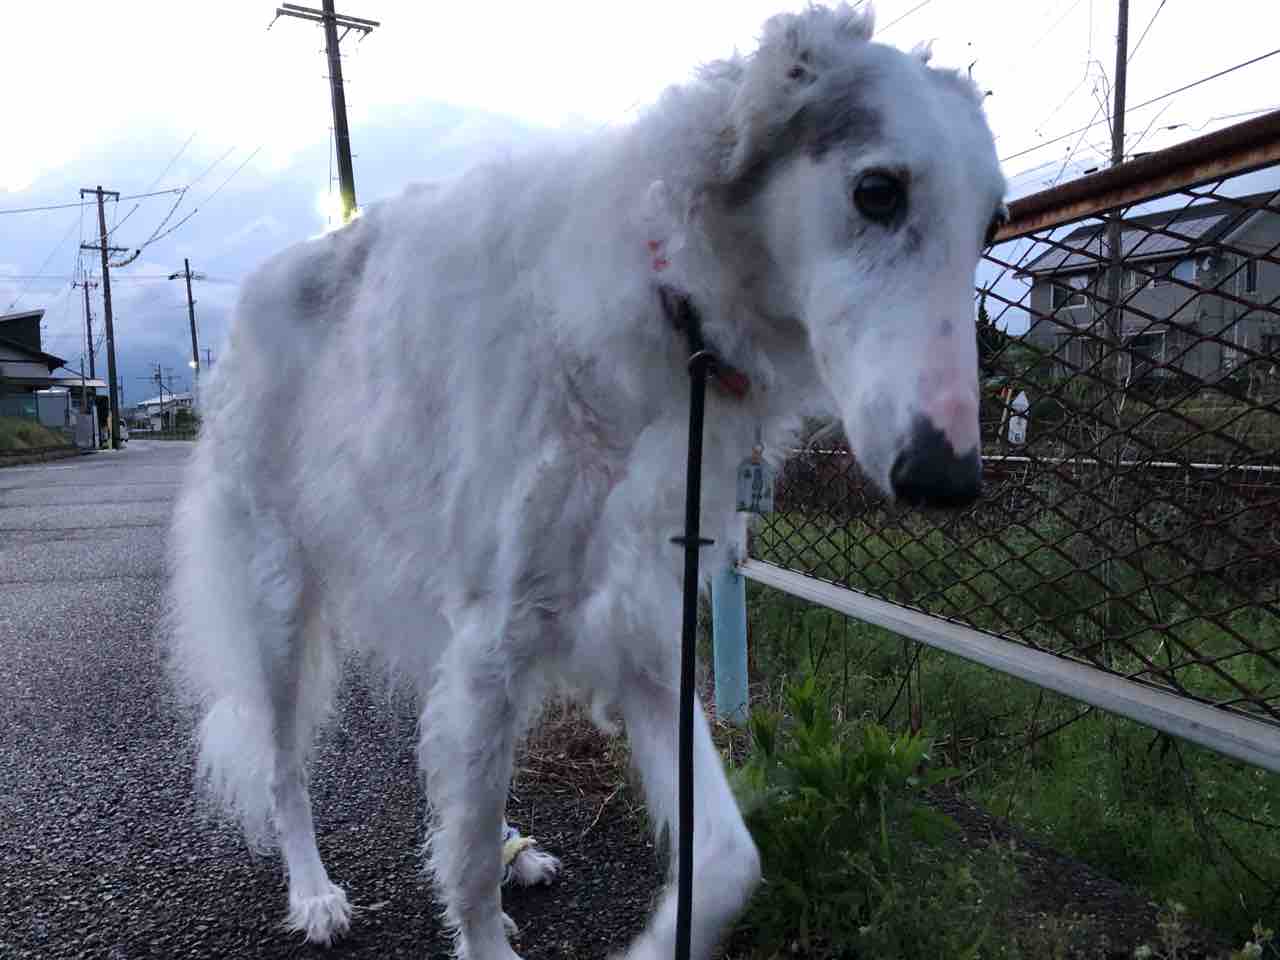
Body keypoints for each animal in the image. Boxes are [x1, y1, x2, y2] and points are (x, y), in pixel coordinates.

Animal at [165, 5, 1005, 958]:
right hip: (278, 601)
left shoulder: (641, 618)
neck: (674, 312)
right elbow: (465, 876)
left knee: (450, 769)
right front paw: (481, 925)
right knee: (288, 770)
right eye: (878, 191)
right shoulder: (500, 628)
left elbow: (729, 860)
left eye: (993, 225)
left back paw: (512, 846)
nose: (948, 478)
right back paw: (314, 892)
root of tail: (261, 284)